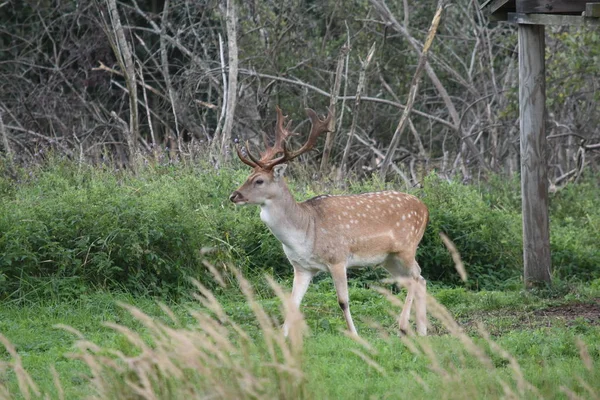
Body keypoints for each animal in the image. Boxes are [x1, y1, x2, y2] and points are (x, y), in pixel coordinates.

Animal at [227, 105, 428, 334]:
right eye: (248, 176)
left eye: (259, 180)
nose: (234, 196)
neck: (306, 232)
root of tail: (425, 208)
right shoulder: (302, 267)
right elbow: (293, 302)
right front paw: (282, 336)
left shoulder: (338, 258)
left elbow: (343, 301)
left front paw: (355, 334)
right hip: (388, 258)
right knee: (418, 279)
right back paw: (422, 331)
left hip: (407, 247)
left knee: (416, 276)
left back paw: (404, 326)